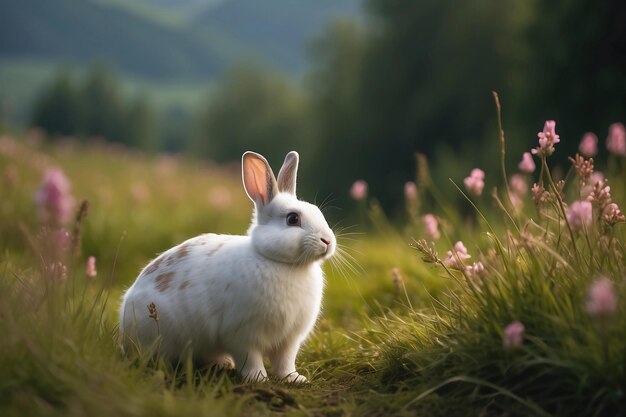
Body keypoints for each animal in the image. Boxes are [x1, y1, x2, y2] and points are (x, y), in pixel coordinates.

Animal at [120, 151, 336, 382]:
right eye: (293, 218)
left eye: (317, 212)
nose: (328, 241)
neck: (283, 263)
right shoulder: (242, 333)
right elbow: (251, 359)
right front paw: (258, 378)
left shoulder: (289, 339)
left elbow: (285, 362)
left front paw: (295, 379)